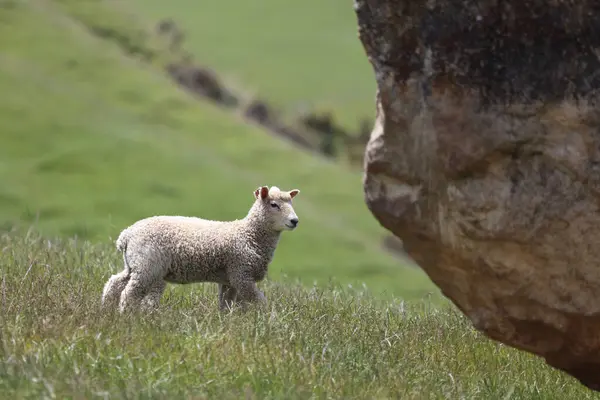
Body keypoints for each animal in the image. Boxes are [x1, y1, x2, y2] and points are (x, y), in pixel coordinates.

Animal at [101, 184, 304, 312]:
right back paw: (126, 316)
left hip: (135, 264)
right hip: (147, 266)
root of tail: (127, 234)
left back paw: (107, 310)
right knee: (129, 293)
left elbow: (227, 306)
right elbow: (261, 302)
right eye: (274, 204)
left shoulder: (229, 280)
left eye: (291, 204)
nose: (294, 221)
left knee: (114, 282)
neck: (249, 234)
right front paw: (270, 320)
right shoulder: (241, 275)